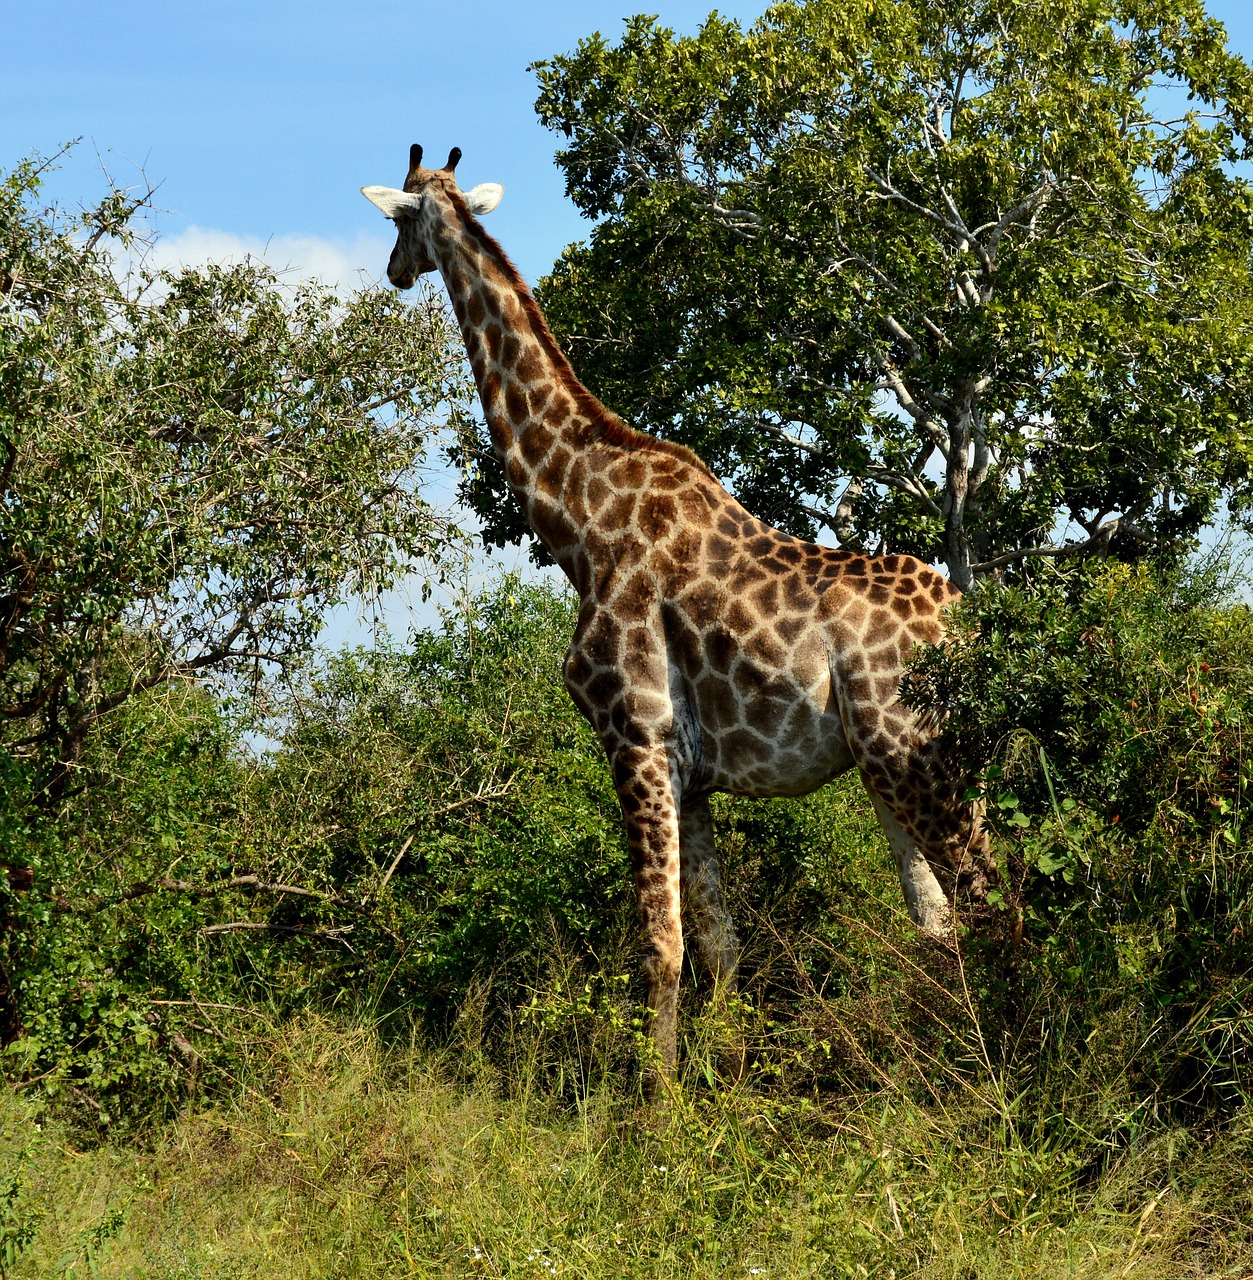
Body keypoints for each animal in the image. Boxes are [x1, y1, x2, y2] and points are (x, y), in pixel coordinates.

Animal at [360, 142, 988, 1080]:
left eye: (397, 220)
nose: (396, 272)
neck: (578, 520)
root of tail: (969, 627)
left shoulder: (636, 735)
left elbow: (657, 948)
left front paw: (651, 1105)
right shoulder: (690, 774)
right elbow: (719, 945)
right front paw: (721, 1085)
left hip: (917, 753)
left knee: (989, 904)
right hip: (899, 766)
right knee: (942, 922)